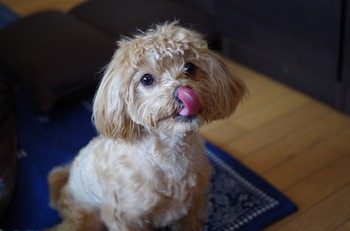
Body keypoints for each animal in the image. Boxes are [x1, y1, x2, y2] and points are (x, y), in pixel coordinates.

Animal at [47, 22, 246, 231]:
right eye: (146, 79)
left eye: (190, 67)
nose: (184, 91)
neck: (170, 152)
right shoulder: (123, 216)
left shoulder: (196, 200)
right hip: (85, 218)